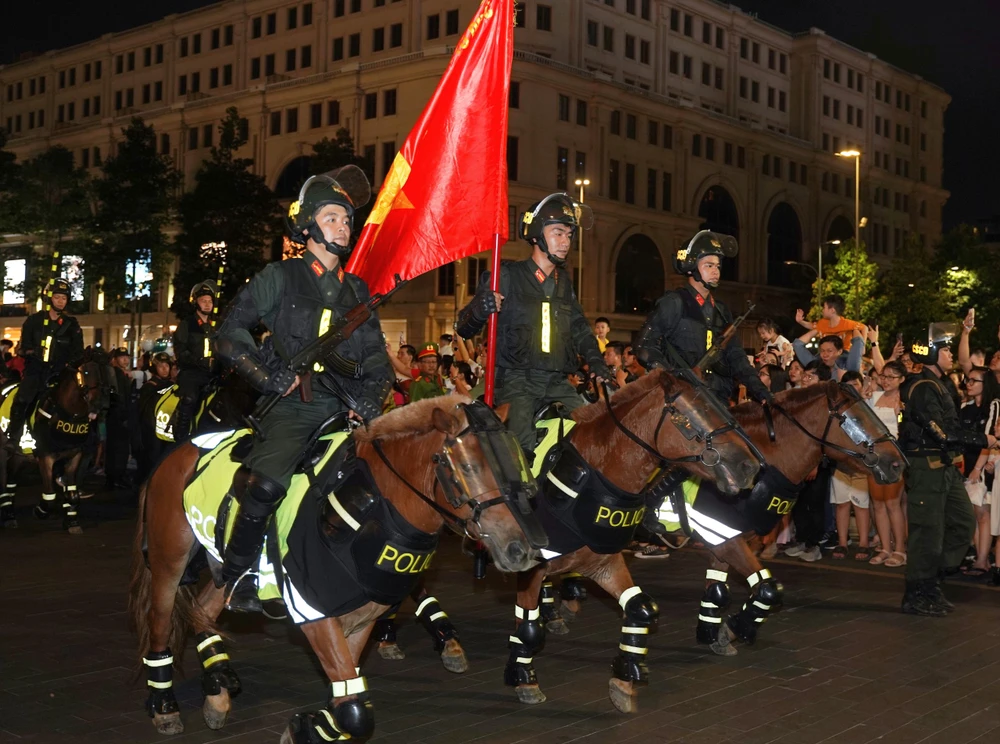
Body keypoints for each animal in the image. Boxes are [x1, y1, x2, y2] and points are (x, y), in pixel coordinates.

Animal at [0, 364, 97, 528]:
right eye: (86, 372)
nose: (103, 404)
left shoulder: (75, 455)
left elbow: (72, 492)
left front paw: (72, 522)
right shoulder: (45, 457)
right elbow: (50, 495)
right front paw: (40, 511)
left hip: (19, 457)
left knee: (10, 482)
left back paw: (9, 514)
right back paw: (8, 515)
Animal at [129, 398, 544, 744]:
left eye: (517, 462)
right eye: (468, 468)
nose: (519, 549)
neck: (376, 509)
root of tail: (179, 449)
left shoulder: (361, 619)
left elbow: (348, 698)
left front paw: (315, 726)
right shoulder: (312, 610)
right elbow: (357, 712)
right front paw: (301, 729)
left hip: (223, 570)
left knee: (202, 610)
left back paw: (217, 688)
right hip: (168, 563)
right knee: (161, 624)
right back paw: (165, 707)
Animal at [500, 370, 756, 712]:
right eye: (689, 418)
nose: (749, 466)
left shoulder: (602, 561)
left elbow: (640, 608)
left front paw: (624, 680)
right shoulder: (531, 569)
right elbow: (527, 629)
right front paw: (524, 679)